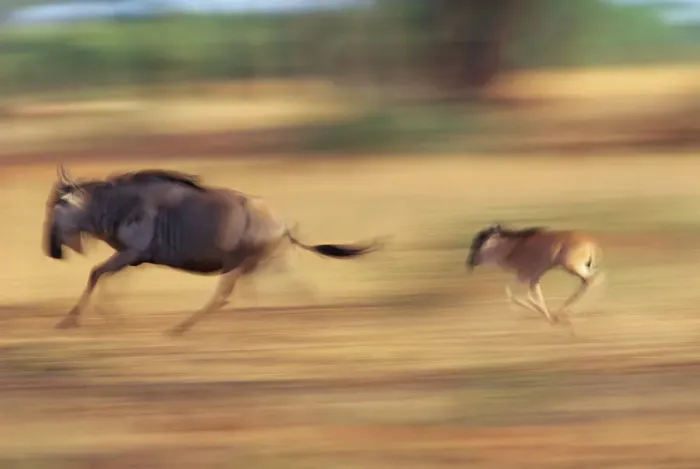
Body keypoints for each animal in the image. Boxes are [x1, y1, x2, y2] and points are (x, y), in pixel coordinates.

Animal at [43, 164, 383, 335]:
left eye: (57, 206)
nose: (50, 251)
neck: (114, 205)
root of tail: (284, 223)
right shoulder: (135, 257)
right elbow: (111, 280)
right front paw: (112, 316)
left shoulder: (131, 253)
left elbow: (95, 273)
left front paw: (70, 320)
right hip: (259, 265)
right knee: (269, 293)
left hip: (245, 264)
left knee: (229, 296)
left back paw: (182, 327)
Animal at [465, 223, 603, 325]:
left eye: (478, 243)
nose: (470, 262)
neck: (511, 247)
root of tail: (590, 244)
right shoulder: (532, 277)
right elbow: (519, 294)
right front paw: (549, 316)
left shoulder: (527, 275)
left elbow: (523, 295)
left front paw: (550, 317)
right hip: (582, 267)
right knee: (596, 278)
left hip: (573, 267)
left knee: (591, 280)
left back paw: (565, 310)